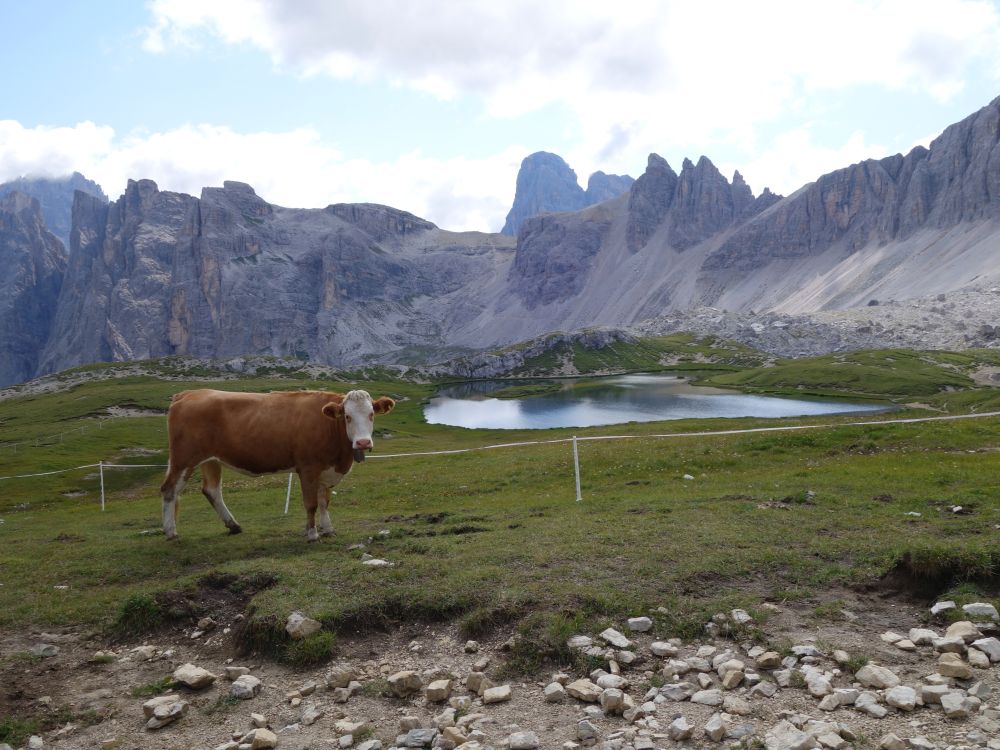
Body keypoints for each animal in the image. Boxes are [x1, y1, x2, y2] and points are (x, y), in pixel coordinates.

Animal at [160, 390, 394, 544]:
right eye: (347, 416)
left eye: (371, 414)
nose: (363, 443)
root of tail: (190, 392)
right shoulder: (308, 468)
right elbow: (311, 504)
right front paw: (312, 534)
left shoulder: (326, 471)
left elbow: (324, 502)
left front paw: (328, 529)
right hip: (183, 458)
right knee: (169, 490)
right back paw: (171, 532)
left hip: (211, 460)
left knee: (211, 490)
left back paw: (233, 526)